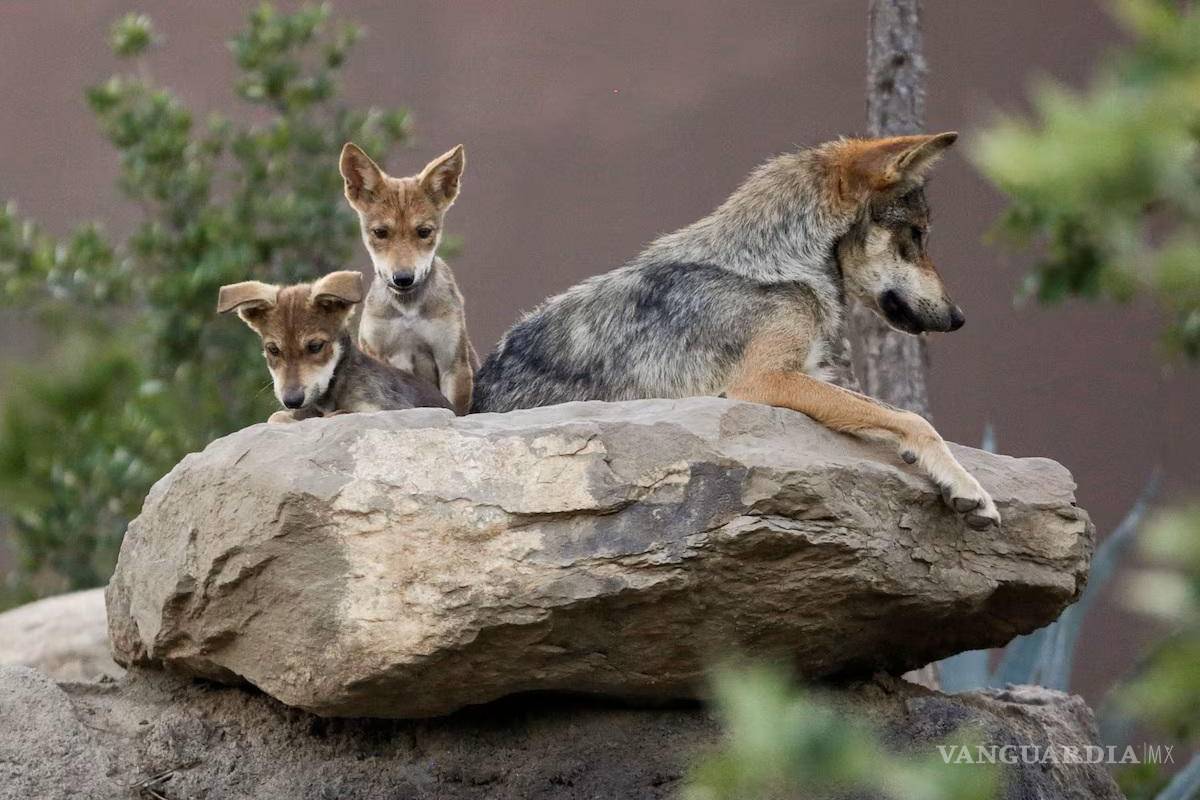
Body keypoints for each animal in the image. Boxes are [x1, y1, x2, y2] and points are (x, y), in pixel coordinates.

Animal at [217, 270, 452, 422]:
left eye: (315, 346)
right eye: (273, 349)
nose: (292, 400)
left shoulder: (387, 408)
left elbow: (338, 414)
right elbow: (277, 417)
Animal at [340, 142, 478, 415]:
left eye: (424, 232)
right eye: (380, 232)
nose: (403, 278)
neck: (408, 312)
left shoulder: (452, 364)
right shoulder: (380, 355)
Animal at [472, 132, 1000, 529]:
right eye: (917, 236)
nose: (959, 318)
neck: (774, 262)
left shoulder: (813, 374)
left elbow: (891, 412)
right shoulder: (764, 382)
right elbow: (915, 419)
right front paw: (970, 488)